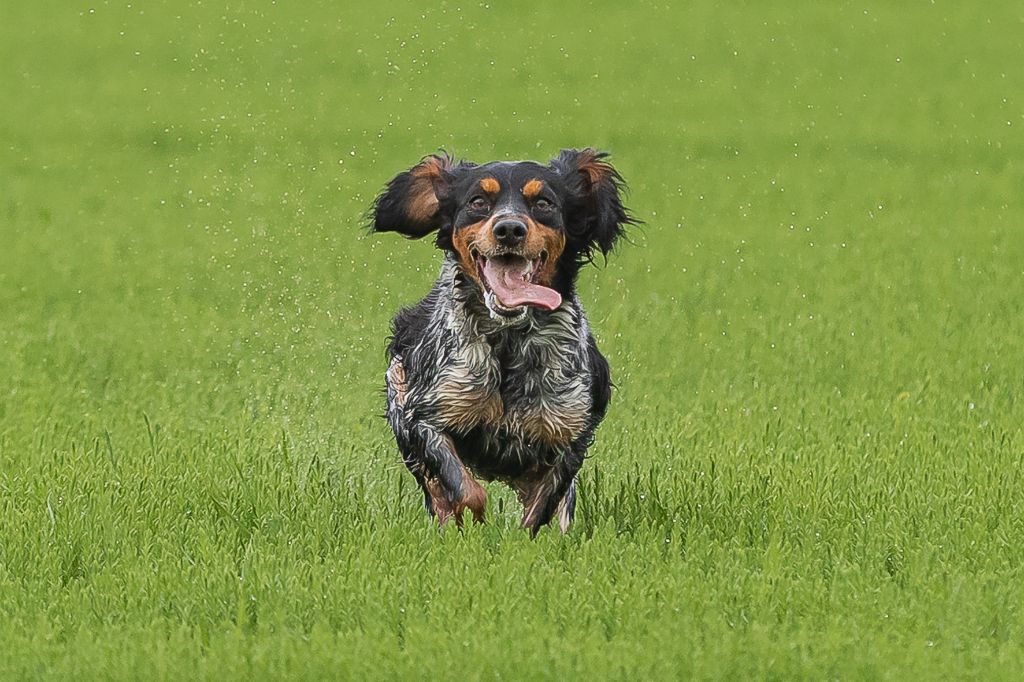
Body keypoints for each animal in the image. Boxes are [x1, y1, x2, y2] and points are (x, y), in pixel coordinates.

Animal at [372, 147, 634, 532]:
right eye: (478, 201)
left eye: (544, 203)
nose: (509, 228)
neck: (509, 343)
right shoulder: (422, 416)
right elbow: (464, 489)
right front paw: (470, 522)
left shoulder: (569, 438)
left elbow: (540, 511)